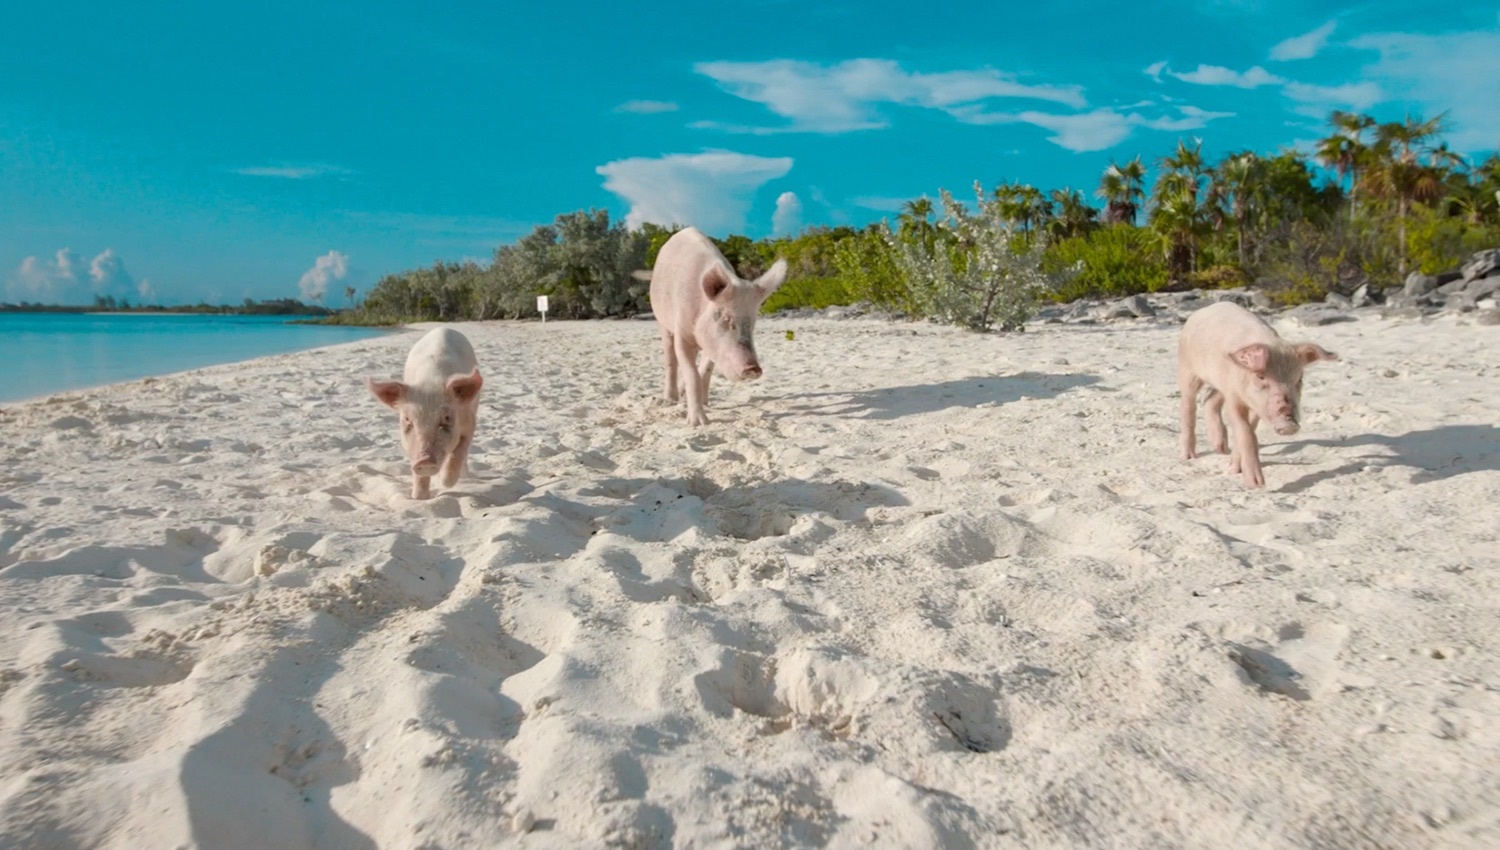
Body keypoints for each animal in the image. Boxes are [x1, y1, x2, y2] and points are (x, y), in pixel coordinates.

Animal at [366, 327, 483, 499]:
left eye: (447, 418)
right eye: (408, 419)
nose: (424, 461)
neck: (430, 381)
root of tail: (443, 327)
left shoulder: (469, 423)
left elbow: (458, 453)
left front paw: (445, 483)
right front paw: (418, 498)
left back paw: (465, 478)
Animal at [647, 227, 787, 426]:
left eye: (753, 321)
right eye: (726, 318)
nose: (754, 369)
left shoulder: (712, 344)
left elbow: (705, 370)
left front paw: (704, 406)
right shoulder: (682, 332)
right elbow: (692, 374)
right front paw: (698, 424)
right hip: (662, 322)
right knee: (670, 359)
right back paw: (670, 400)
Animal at [1178, 301, 1338, 488]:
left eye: (1299, 378)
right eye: (1261, 376)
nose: (1289, 425)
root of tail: (1207, 308)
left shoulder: (1254, 403)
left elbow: (1251, 429)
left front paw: (1234, 469)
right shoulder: (1234, 397)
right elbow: (1245, 432)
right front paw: (1256, 484)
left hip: (1219, 383)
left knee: (1210, 398)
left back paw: (1221, 449)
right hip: (1187, 369)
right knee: (1188, 406)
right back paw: (1188, 457)